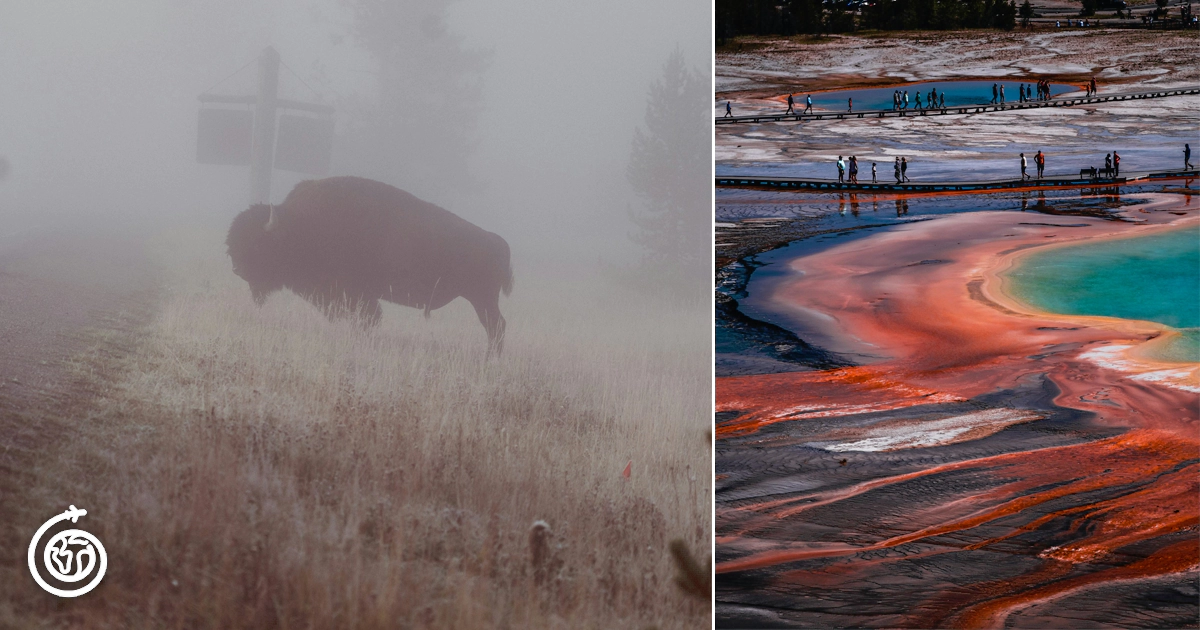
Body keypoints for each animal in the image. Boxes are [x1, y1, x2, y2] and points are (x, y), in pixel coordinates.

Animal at [226, 176, 513, 352]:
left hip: (482, 299)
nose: (237, 269)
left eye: (258, 243)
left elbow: (367, 320)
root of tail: (497, 240)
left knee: (496, 327)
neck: (301, 225)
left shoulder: (357, 296)